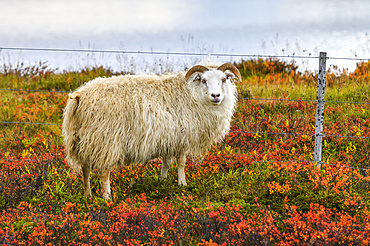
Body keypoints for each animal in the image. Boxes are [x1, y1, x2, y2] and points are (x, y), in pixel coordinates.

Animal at [62, 62, 241, 200]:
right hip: (106, 140)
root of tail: (79, 96)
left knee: (85, 169)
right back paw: (107, 198)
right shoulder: (182, 138)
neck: (192, 94)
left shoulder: (169, 138)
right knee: (103, 172)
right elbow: (181, 163)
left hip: (83, 140)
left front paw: (162, 181)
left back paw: (87, 196)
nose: (216, 96)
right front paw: (182, 184)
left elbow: (167, 162)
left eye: (223, 79)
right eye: (203, 80)